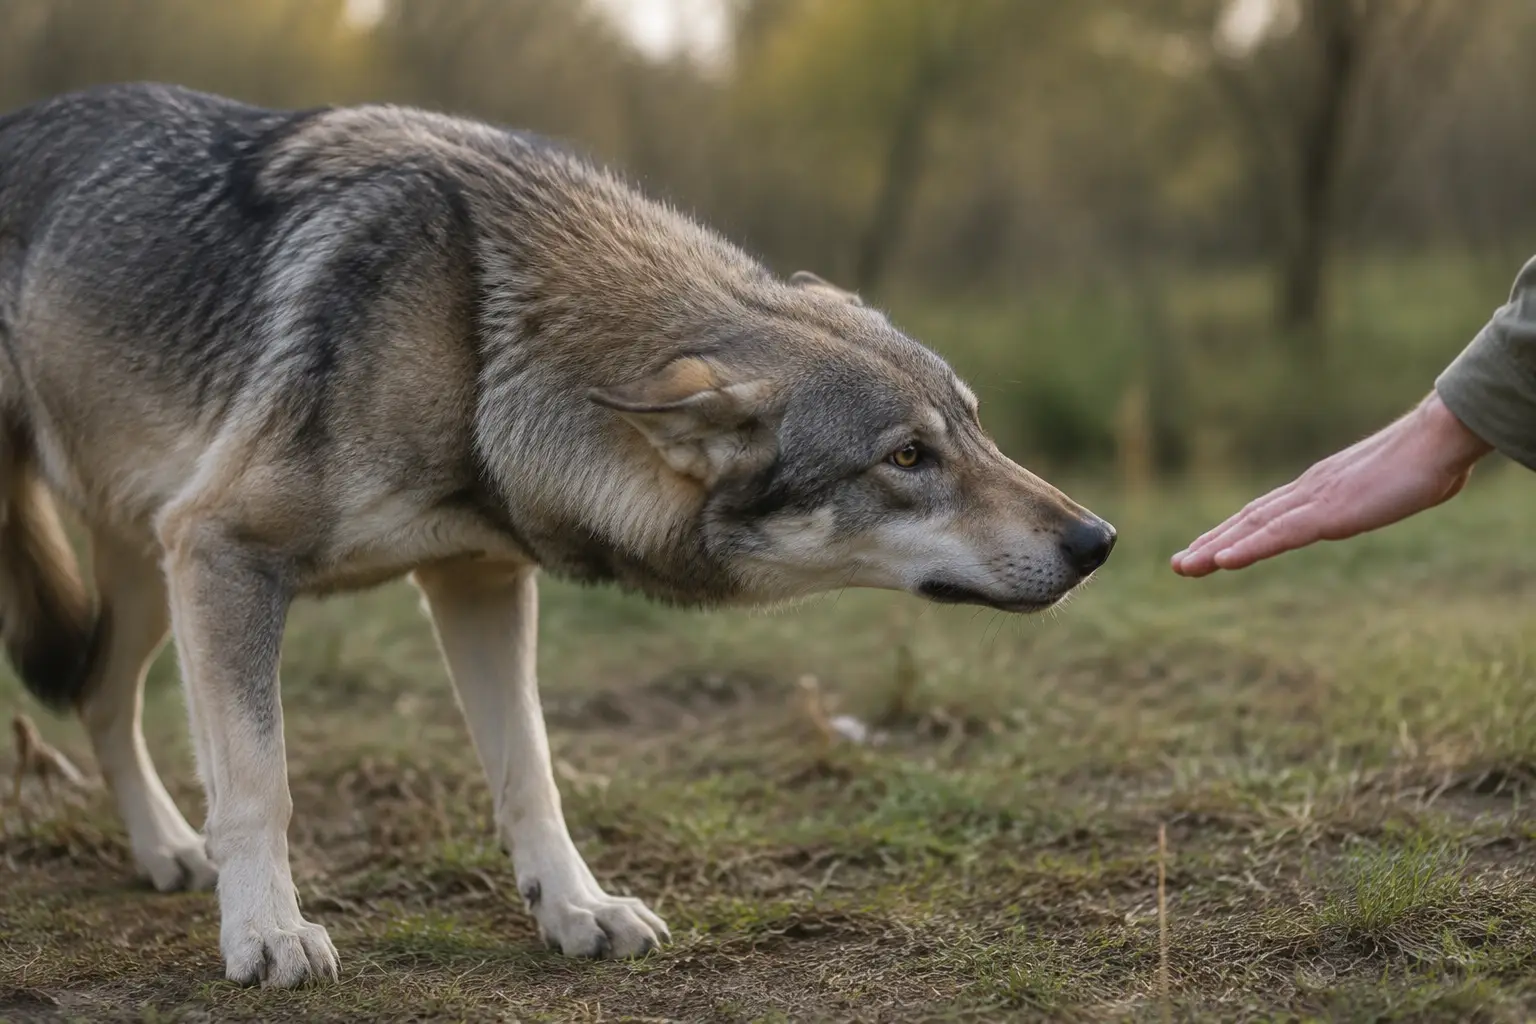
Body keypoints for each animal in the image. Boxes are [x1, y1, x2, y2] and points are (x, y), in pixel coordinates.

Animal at [0, 83, 1116, 987]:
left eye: (974, 424)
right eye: (906, 457)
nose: (1097, 540)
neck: (482, 337)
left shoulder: (479, 582)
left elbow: (530, 771)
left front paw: (576, 909)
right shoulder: (227, 550)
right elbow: (259, 784)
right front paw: (268, 934)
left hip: (147, 571)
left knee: (99, 693)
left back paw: (165, 852)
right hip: (158, 566)